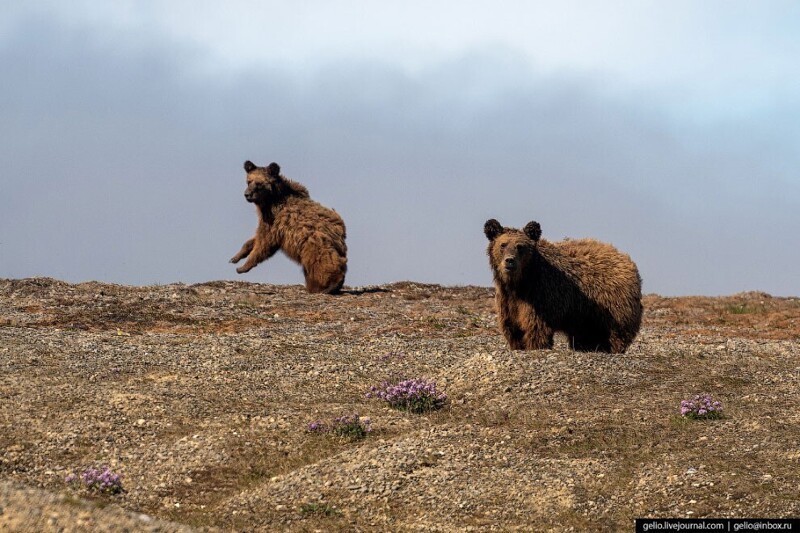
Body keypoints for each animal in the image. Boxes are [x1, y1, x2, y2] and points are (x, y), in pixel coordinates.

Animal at [228, 162, 346, 296]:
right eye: (248, 181)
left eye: (259, 183)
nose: (247, 194)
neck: (271, 201)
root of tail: (340, 229)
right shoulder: (268, 221)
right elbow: (255, 239)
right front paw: (235, 258)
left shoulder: (275, 222)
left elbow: (264, 243)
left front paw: (242, 267)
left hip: (314, 241)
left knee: (321, 260)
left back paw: (330, 285)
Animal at [482, 218, 644, 352]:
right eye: (503, 245)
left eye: (520, 246)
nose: (510, 261)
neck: (519, 283)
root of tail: (627, 259)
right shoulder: (508, 301)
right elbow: (513, 329)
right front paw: (518, 346)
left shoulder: (540, 296)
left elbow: (535, 328)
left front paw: (535, 345)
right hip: (585, 314)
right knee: (586, 334)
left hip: (612, 301)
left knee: (616, 330)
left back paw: (612, 348)